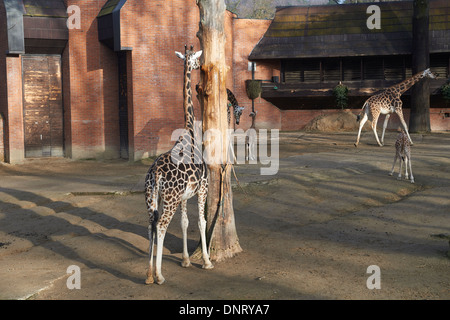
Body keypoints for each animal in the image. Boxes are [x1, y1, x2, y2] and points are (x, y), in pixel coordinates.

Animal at [145, 45, 214, 284]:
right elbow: (201, 222)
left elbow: (184, 223)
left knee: (151, 225)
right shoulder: (203, 188)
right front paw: (207, 261)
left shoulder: (185, 195)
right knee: (161, 225)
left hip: (153, 198)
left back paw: (149, 275)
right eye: (193, 58)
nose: (200, 64)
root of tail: (155, 173)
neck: (190, 130)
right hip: (170, 198)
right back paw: (159, 275)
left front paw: (185, 260)